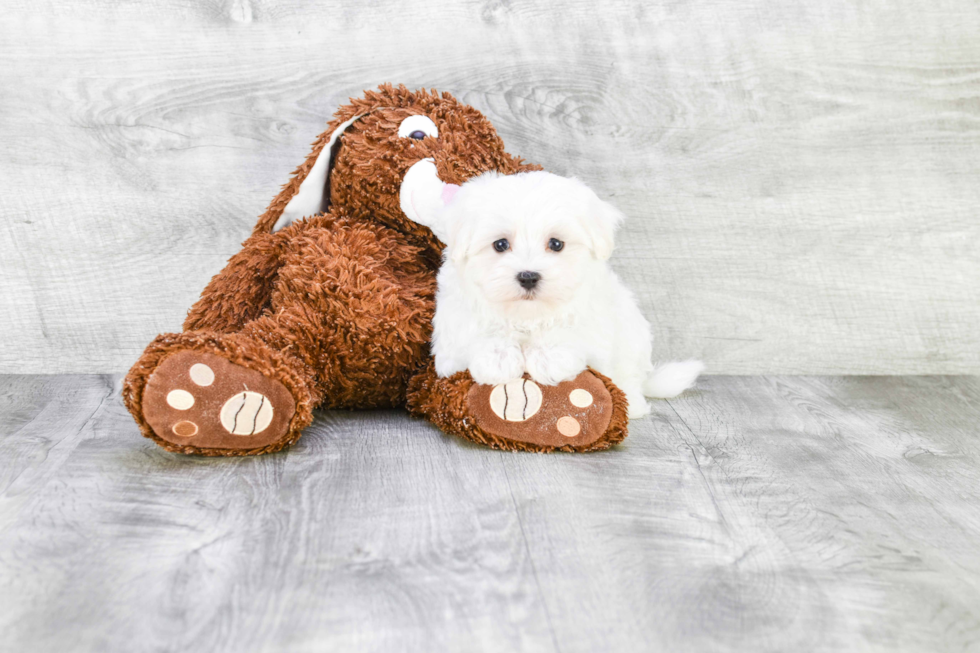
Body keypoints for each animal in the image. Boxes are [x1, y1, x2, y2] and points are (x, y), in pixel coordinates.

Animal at [432, 171, 700, 418]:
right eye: (500, 244)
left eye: (556, 244)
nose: (528, 277)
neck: (527, 315)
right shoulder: (452, 331)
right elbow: (477, 329)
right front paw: (498, 358)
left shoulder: (594, 315)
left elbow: (569, 328)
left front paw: (549, 357)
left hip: (632, 336)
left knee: (629, 378)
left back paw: (632, 405)